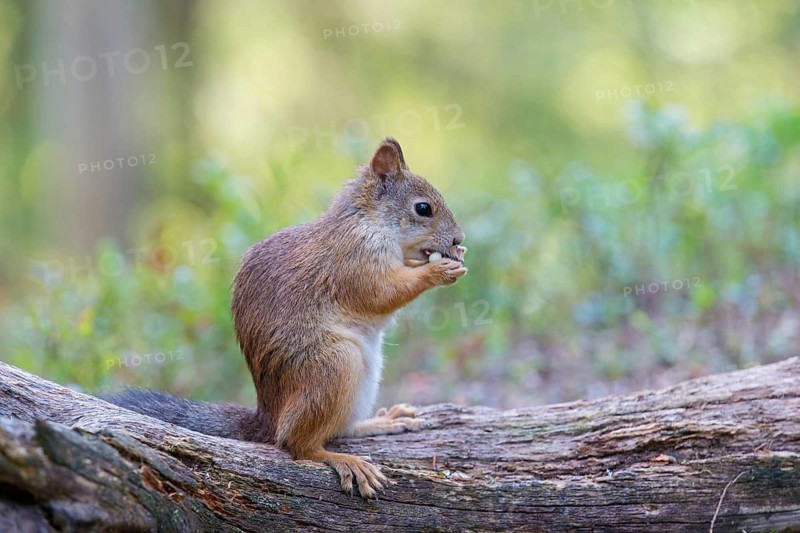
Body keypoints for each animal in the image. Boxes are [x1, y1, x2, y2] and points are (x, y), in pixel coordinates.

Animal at [106, 138, 467, 498]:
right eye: (423, 208)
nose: (458, 240)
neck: (369, 221)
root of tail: (268, 416)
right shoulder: (352, 262)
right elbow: (381, 293)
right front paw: (437, 270)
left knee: (339, 429)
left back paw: (384, 421)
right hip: (336, 365)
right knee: (296, 444)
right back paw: (342, 459)